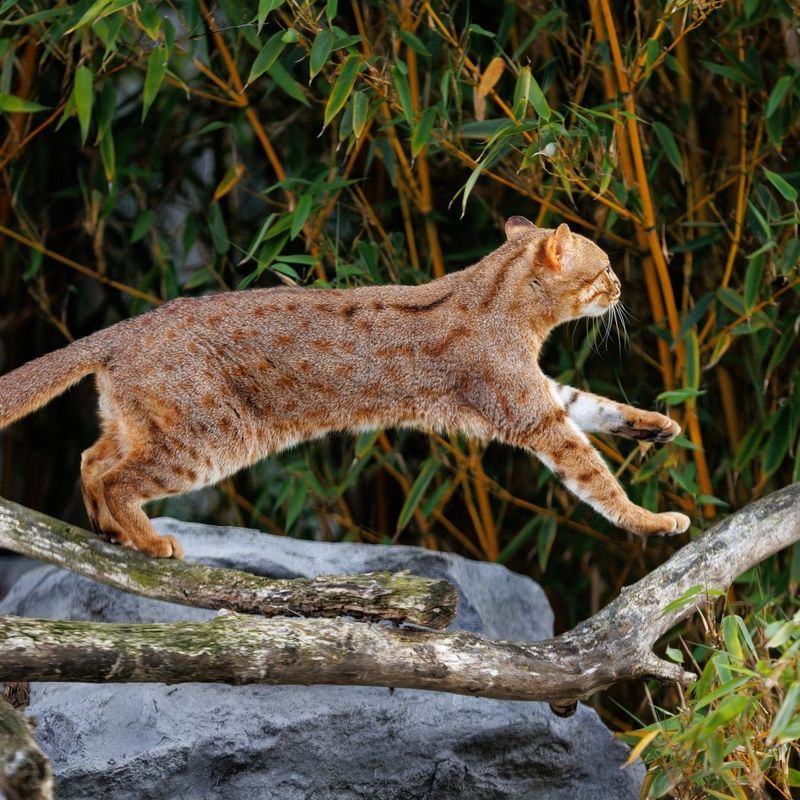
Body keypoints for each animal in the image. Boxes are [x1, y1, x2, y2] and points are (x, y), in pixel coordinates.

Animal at [0, 216, 688, 560]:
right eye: (604, 269)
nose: (623, 288)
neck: (502, 298)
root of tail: (123, 328)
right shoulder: (528, 409)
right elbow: (595, 476)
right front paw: (653, 520)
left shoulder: (543, 393)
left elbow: (593, 404)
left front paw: (657, 424)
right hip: (209, 438)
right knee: (117, 478)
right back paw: (148, 539)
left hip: (142, 424)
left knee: (90, 459)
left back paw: (109, 531)